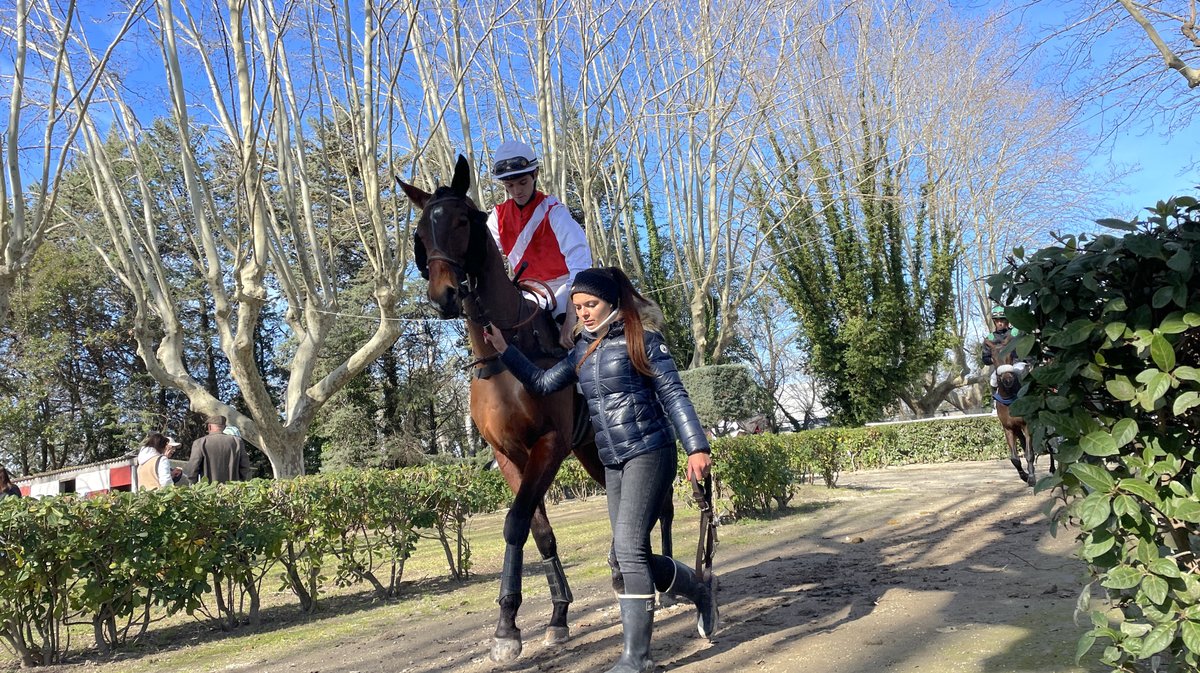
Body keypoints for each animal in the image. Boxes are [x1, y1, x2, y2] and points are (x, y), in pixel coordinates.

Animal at [396, 155, 672, 662]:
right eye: (422, 230)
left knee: (659, 501)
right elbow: (538, 530)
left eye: (461, 221)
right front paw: (552, 617)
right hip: (593, 451)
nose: (443, 295)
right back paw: (621, 570)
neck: (504, 359)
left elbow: (514, 523)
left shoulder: (548, 446)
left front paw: (508, 627)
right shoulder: (510, 456)